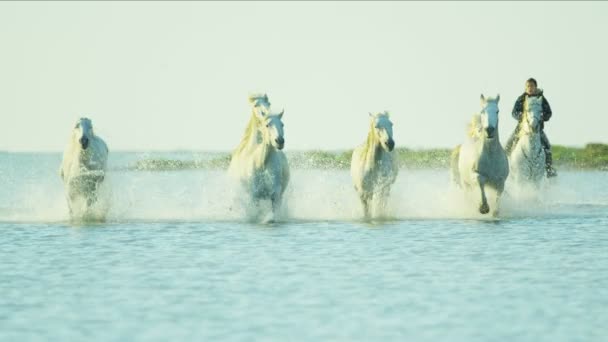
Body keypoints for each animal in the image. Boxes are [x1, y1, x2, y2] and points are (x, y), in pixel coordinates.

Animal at [228, 93, 290, 223]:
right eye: (267, 125)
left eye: (282, 124)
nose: (279, 141)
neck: (262, 163)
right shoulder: (254, 196)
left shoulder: (275, 196)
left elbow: (274, 215)